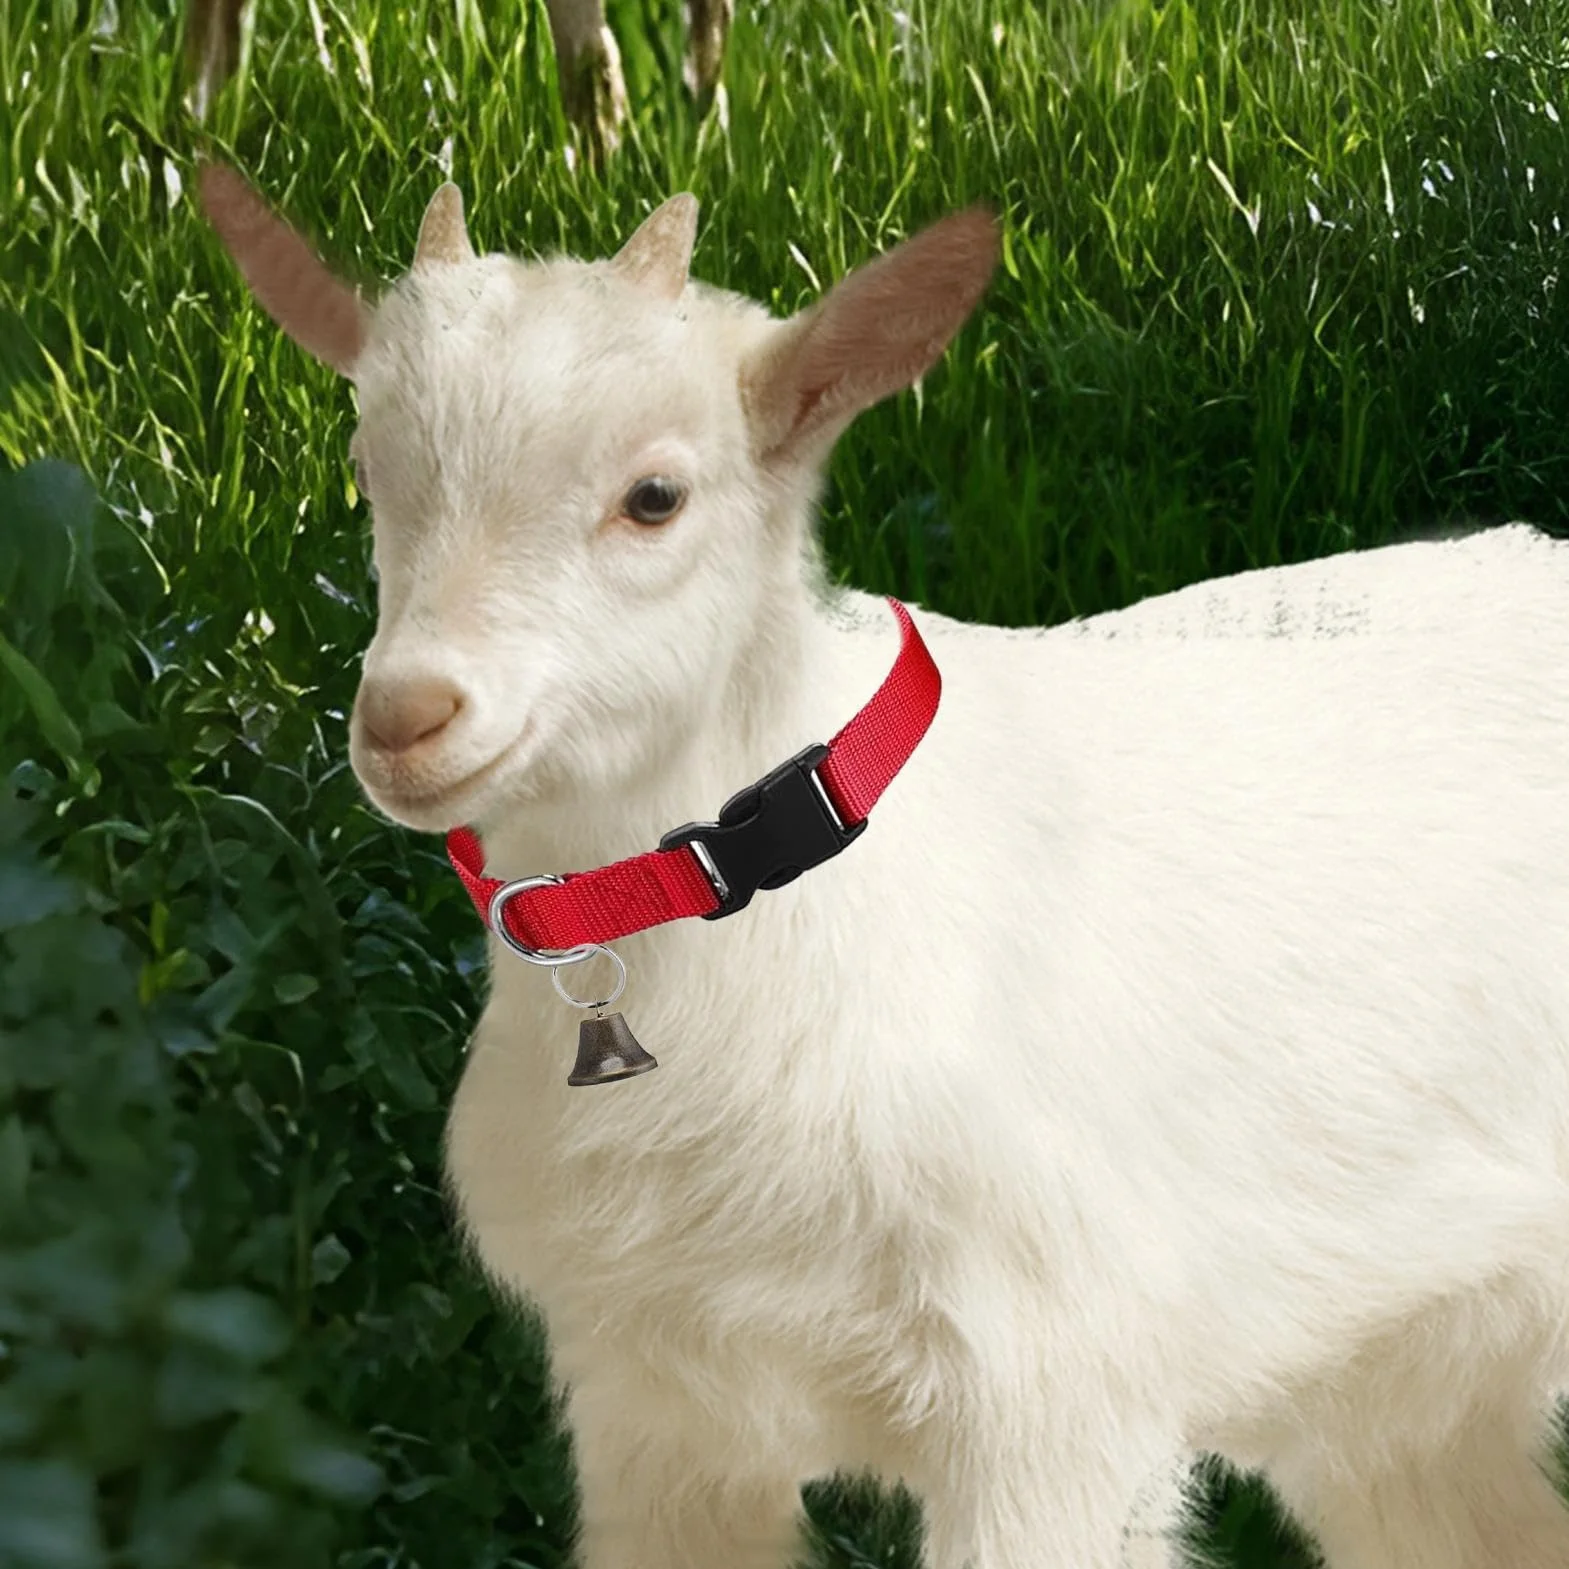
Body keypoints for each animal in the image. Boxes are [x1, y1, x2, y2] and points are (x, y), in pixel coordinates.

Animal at [197, 158, 1569, 1569]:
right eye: (367, 468)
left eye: (656, 496)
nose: (407, 718)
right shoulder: (653, 1407)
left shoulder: (1047, 1395)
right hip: (1404, 1380)